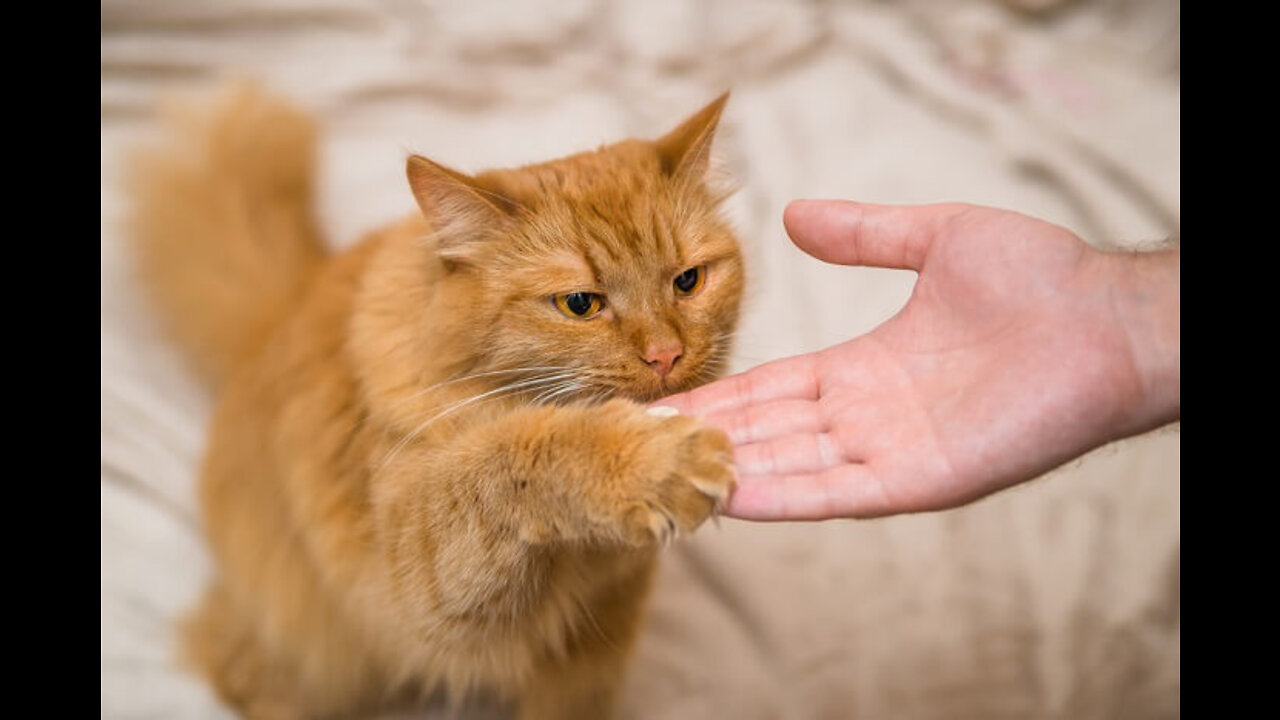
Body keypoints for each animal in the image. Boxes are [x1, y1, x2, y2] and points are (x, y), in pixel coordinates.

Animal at [124, 85, 747, 717]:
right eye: (580, 304)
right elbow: (512, 457)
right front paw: (647, 462)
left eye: (688, 281)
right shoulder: (420, 586)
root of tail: (277, 314)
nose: (666, 355)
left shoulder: (592, 646)